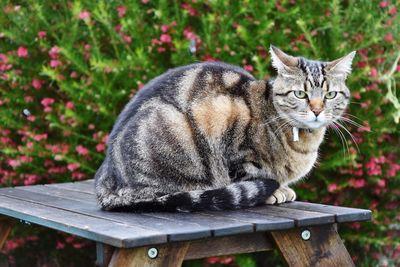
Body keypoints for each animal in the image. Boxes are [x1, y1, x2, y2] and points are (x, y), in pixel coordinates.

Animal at [94, 46, 356, 214]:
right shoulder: (233, 137)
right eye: (300, 94)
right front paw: (275, 191)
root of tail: (105, 177)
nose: (317, 110)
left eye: (330, 95)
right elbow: (249, 173)